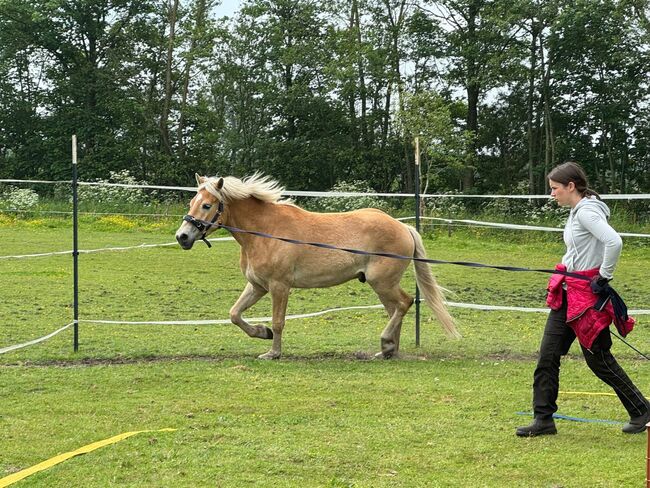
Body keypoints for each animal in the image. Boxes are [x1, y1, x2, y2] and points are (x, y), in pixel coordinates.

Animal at [172, 173, 456, 358]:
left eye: (206, 205)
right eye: (191, 203)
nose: (182, 237)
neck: (265, 232)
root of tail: (403, 227)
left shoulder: (279, 286)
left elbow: (278, 321)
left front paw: (273, 352)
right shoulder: (257, 286)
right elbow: (235, 314)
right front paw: (262, 332)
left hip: (382, 282)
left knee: (404, 303)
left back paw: (386, 344)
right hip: (382, 285)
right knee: (395, 309)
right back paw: (388, 350)